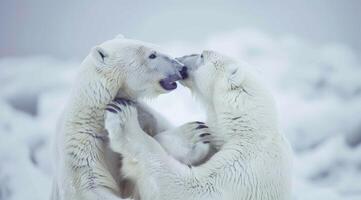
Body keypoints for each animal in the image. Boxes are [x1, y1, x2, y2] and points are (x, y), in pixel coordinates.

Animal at [51, 36, 212, 200]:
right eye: (152, 55)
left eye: (157, 48)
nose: (181, 68)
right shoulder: (81, 148)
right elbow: (91, 186)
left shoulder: (147, 118)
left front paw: (192, 136)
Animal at [105, 50, 292, 200]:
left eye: (202, 55)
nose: (179, 60)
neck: (246, 126)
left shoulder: (244, 169)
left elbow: (194, 188)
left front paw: (122, 117)